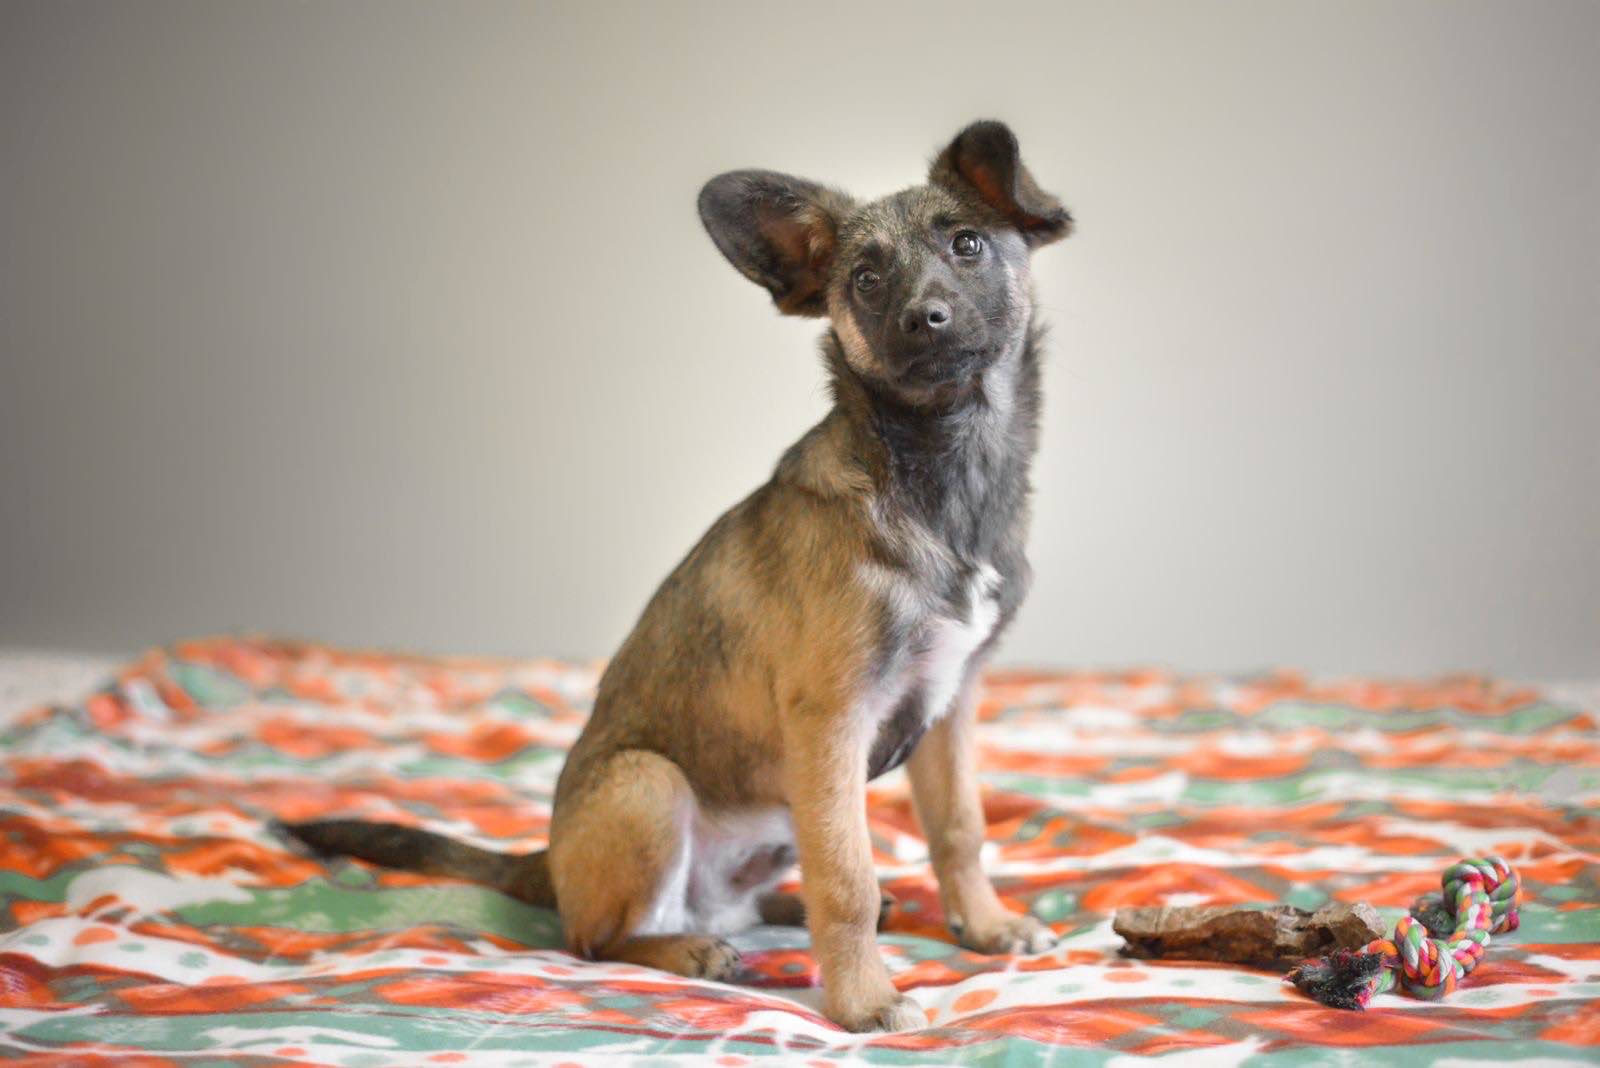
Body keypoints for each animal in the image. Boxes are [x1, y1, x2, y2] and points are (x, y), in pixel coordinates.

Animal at [282, 119, 1071, 1033]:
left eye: (968, 243)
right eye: (866, 281)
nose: (924, 319)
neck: (943, 472)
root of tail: (547, 865)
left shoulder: (950, 704)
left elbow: (959, 829)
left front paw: (984, 925)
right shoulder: (833, 717)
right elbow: (847, 872)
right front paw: (866, 1000)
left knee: (736, 902)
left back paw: (778, 912)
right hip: (647, 786)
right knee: (595, 939)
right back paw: (690, 949)